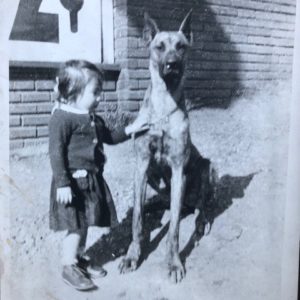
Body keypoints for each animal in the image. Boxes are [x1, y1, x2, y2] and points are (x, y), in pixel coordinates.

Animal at [118, 11, 214, 284]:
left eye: (181, 47)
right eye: (159, 47)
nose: (172, 64)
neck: (163, 107)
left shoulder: (179, 169)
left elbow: (173, 230)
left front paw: (173, 263)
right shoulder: (141, 166)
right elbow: (137, 221)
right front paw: (132, 255)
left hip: (207, 168)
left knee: (201, 205)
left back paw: (201, 221)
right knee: (157, 203)